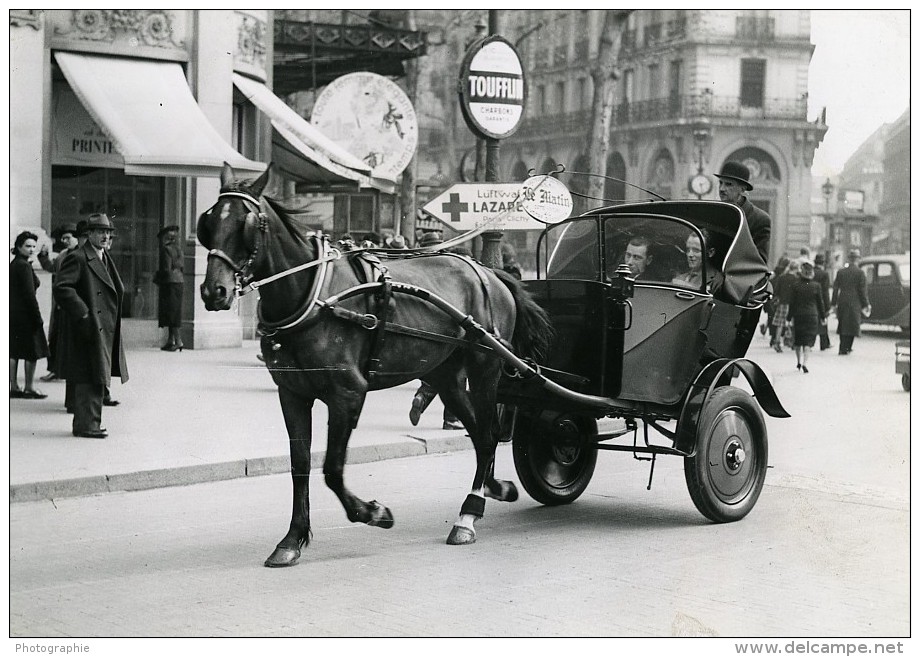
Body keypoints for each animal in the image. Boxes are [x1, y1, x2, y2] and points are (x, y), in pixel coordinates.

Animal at [198, 163, 552, 564]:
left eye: (245, 223)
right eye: (208, 221)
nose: (213, 291)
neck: (314, 294)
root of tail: (490, 273)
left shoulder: (348, 393)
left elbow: (332, 469)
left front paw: (372, 512)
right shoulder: (291, 393)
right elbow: (299, 464)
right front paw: (292, 539)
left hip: (484, 370)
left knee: (490, 434)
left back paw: (469, 513)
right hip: (446, 375)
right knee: (479, 434)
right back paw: (492, 489)